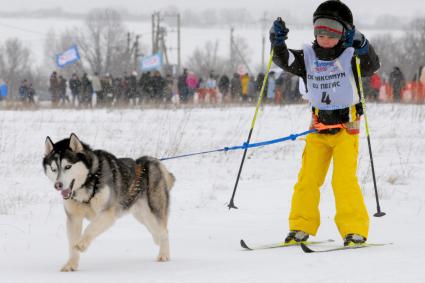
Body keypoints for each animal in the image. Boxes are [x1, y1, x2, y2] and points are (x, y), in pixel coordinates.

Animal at [42, 134, 174, 272]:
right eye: (53, 169)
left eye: (68, 166)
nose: (58, 185)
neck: (88, 183)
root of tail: (151, 160)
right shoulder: (74, 218)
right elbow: (72, 243)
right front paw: (71, 264)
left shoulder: (108, 213)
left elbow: (90, 228)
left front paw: (82, 243)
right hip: (142, 216)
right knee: (156, 231)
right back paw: (158, 241)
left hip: (153, 212)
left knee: (164, 231)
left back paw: (164, 255)